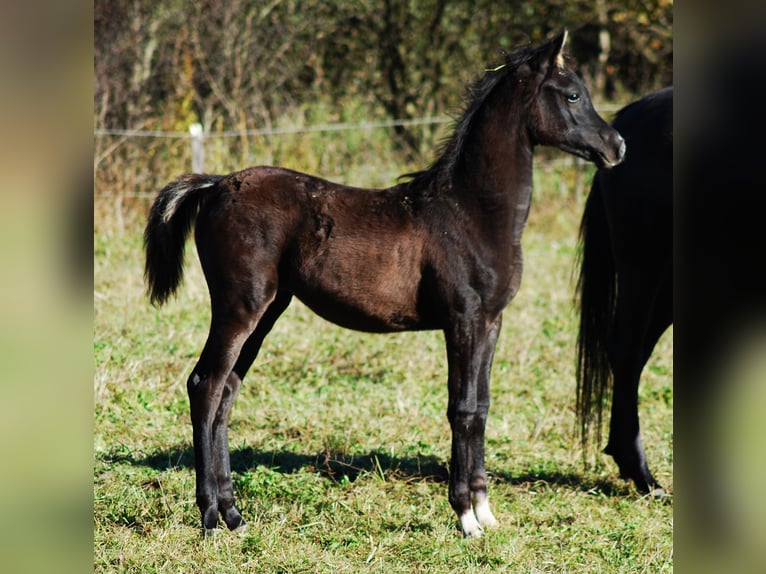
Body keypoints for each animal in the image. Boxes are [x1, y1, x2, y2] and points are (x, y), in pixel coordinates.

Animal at [147, 31, 628, 536]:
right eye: (572, 94)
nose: (617, 147)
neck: (469, 211)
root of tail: (216, 184)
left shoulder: (491, 323)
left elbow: (481, 407)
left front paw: (485, 512)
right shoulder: (463, 320)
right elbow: (461, 408)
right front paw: (465, 517)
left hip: (266, 312)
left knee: (226, 392)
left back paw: (234, 515)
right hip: (239, 306)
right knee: (205, 385)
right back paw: (210, 517)